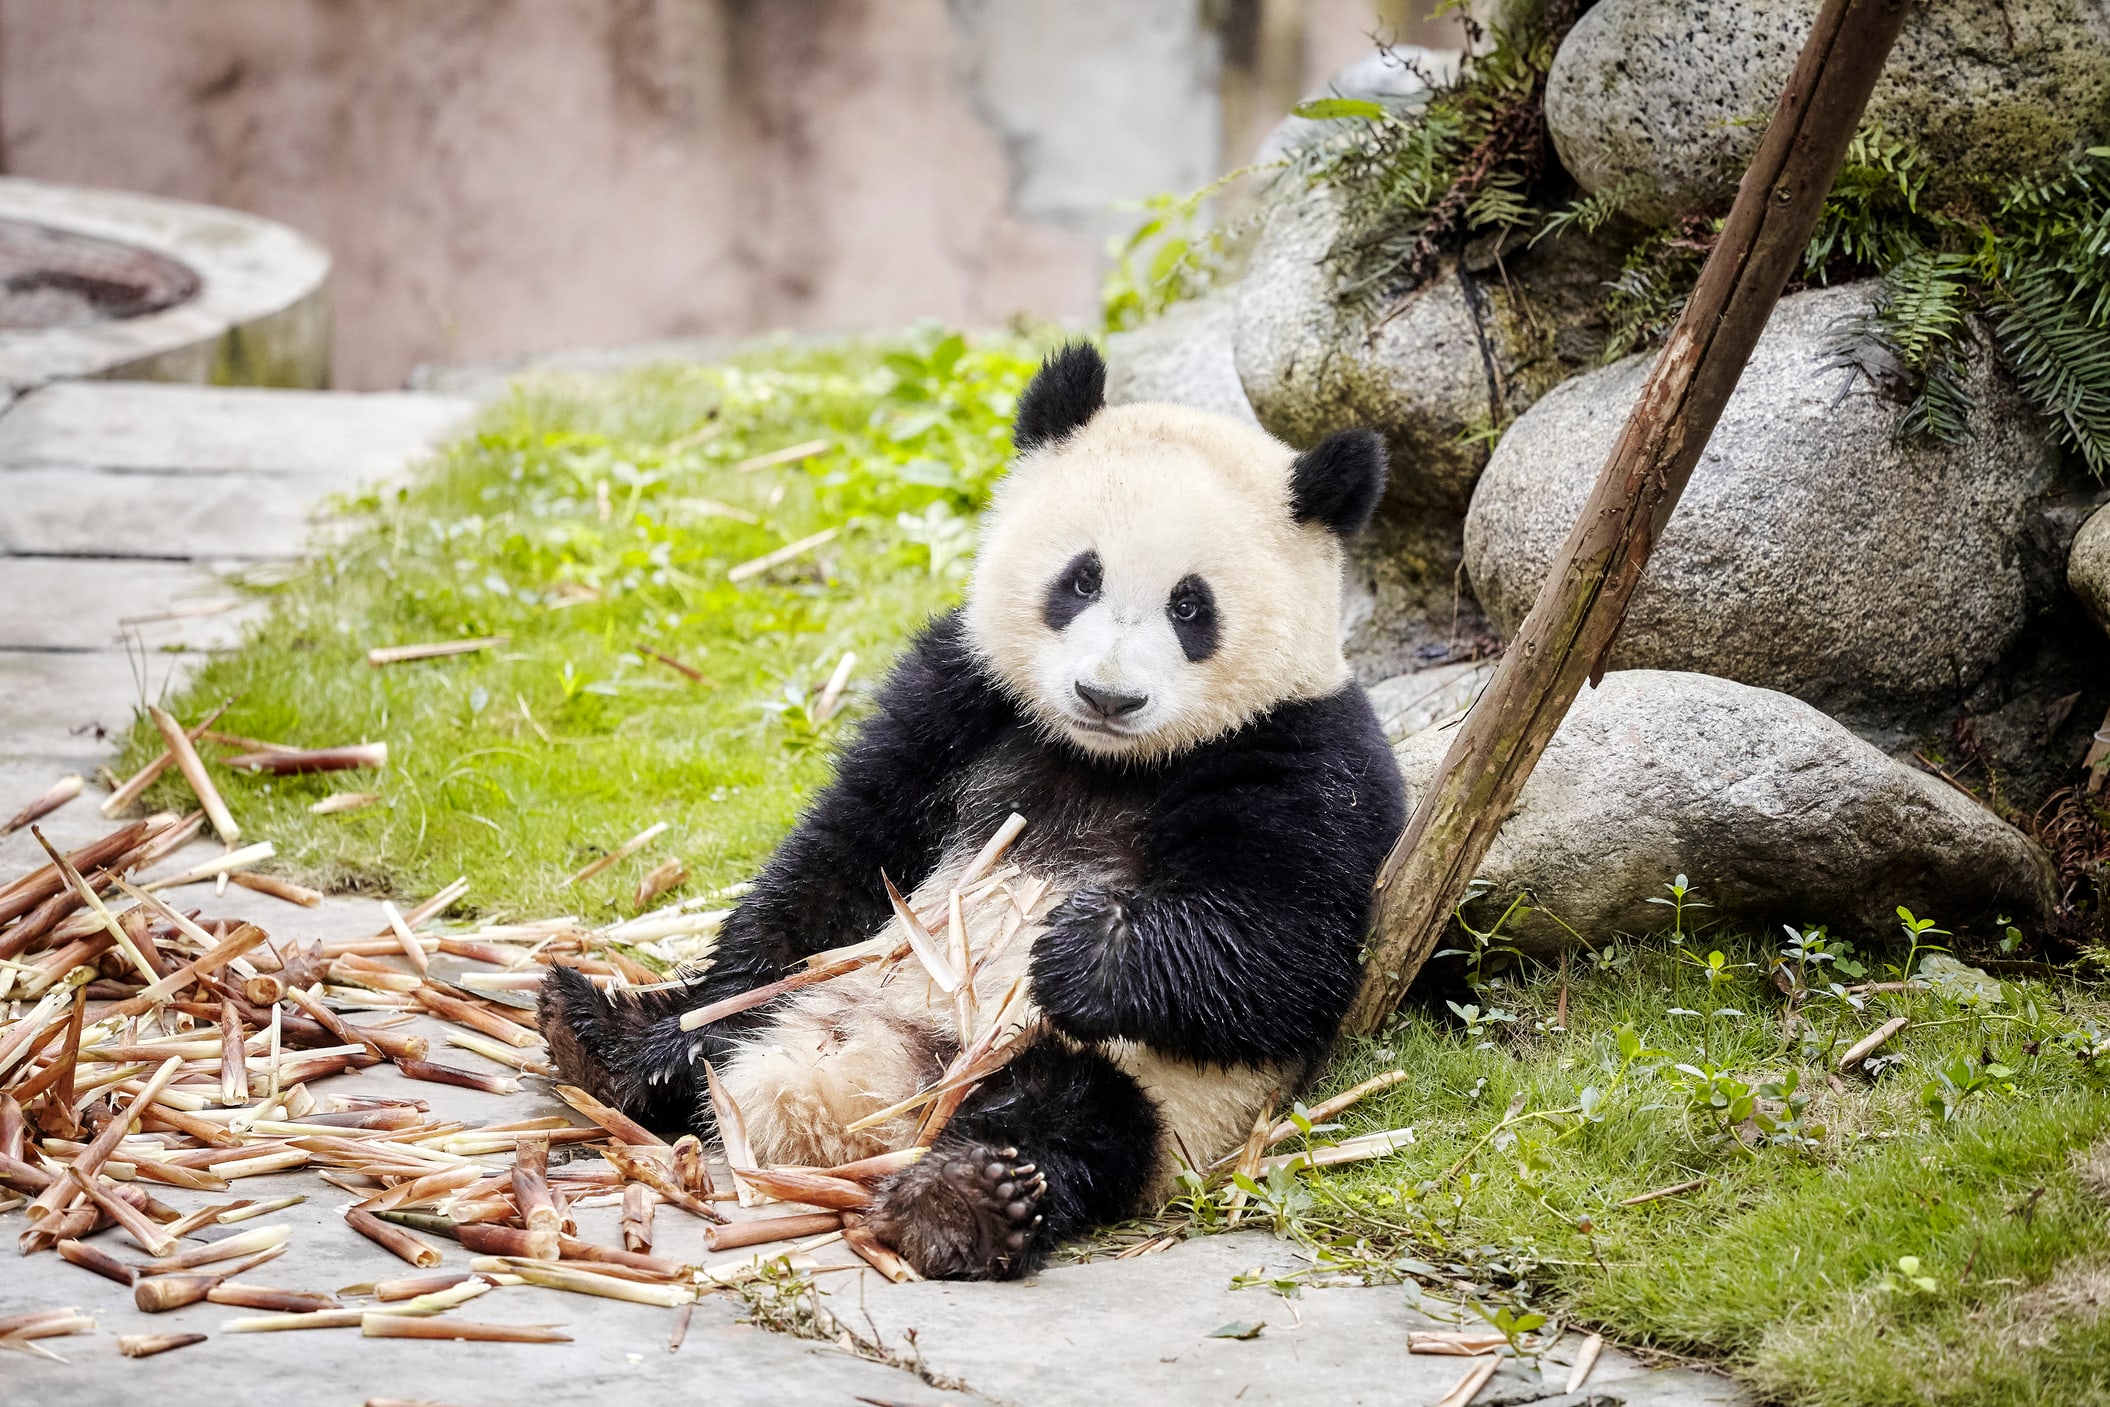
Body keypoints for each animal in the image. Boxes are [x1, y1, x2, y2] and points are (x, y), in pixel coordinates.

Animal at [539, 343, 1406, 1280]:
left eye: (1190, 605)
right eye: (1081, 578)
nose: (1107, 694)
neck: (1106, 759)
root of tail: (852, 1100)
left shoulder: (1309, 756)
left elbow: (1290, 955)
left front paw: (1078, 951)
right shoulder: (962, 691)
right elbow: (845, 849)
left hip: (1139, 1087)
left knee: (1076, 1118)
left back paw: (965, 1199)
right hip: (834, 989)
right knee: (733, 1019)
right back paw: (609, 1038)